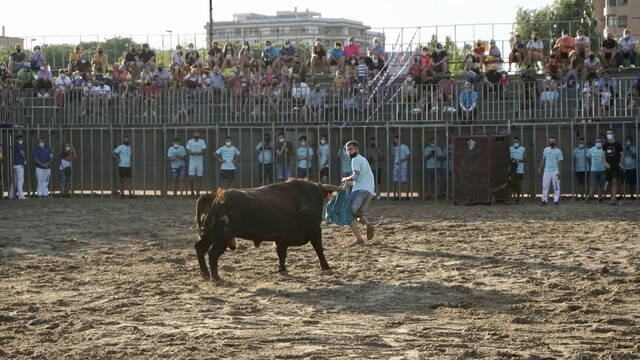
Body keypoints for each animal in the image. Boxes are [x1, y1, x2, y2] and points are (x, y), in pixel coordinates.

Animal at [195, 179, 342, 282]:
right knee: (212, 254)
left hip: (209, 237)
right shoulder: (314, 230)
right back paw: (216, 277)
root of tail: (212, 197)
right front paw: (326, 266)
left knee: (199, 248)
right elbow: (319, 248)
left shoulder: (281, 238)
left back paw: (205, 273)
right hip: (222, 238)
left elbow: (281, 254)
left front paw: (282, 269)